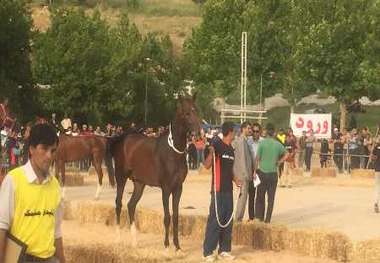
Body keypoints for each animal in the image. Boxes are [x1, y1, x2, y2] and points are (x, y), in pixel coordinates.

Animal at [110, 94, 202, 251]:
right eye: (186, 113)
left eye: (196, 109)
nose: (199, 134)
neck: (173, 152)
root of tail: (123, 139)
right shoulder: (166, 188)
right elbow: (167, 217)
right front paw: (166, 246)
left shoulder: (178, 188)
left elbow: (175, 216)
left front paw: (177, 247)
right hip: (121, 178)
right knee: (118, 204)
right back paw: (118, 239)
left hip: (139, 184)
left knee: (131, 205)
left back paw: (134, 241)